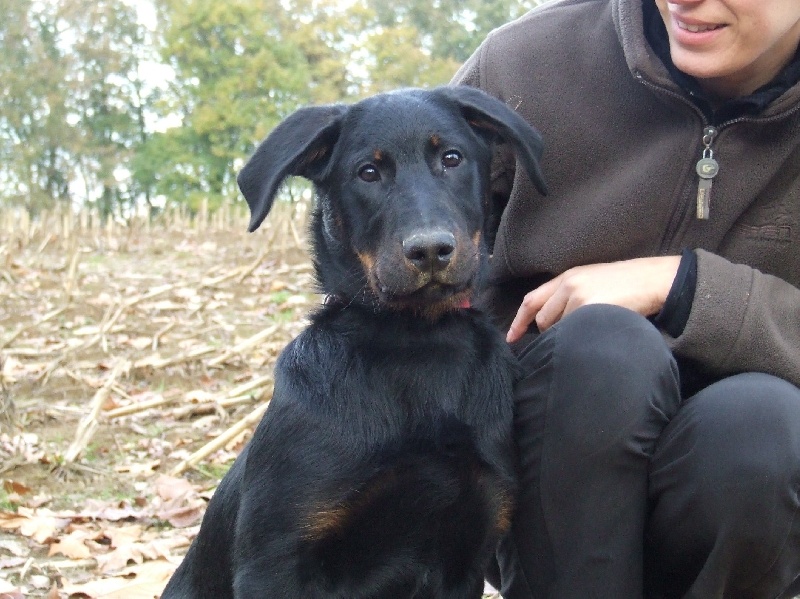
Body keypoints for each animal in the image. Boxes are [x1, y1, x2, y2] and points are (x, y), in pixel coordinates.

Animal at [162, 85, 552, 599]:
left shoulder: (467, 551)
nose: (430, 250)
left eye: (452, 158)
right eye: (368, 172)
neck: (417, 343)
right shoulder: (275, 560)